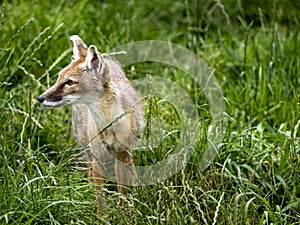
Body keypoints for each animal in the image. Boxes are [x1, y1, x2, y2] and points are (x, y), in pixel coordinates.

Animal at [37, 34, 145, 213]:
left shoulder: (122, 153)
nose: (40, 98)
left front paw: (125, 213)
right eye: (59, 78)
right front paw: (103, 217)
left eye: (70, 82)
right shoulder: (97, 158)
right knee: (90, 176)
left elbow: (123, 192)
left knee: (132, 175)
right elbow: (101, 201)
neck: (108, 124)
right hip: (87, 150)